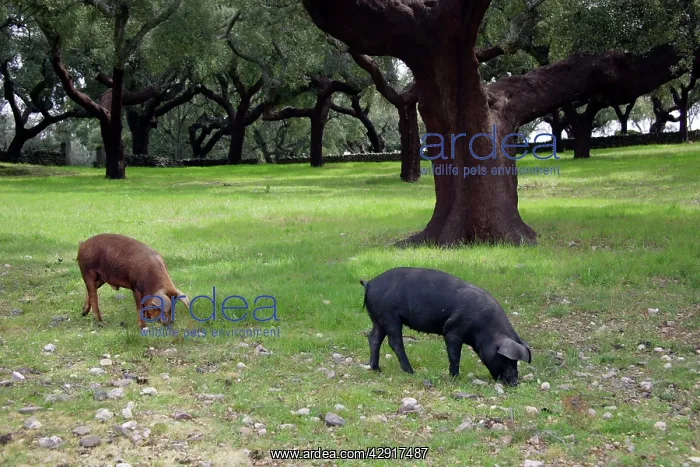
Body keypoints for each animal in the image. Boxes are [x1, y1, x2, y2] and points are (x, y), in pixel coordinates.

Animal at [360, 267, 531, 385]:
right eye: (506, 359)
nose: (515, 383)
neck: (486, 328)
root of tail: (370, 283)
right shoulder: (452, 330)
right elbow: (454, 355)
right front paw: (455, 377)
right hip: (390, 316)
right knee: (395, 342)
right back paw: (411, 372)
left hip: (378, 319)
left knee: (373, 338)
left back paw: (377, 369)